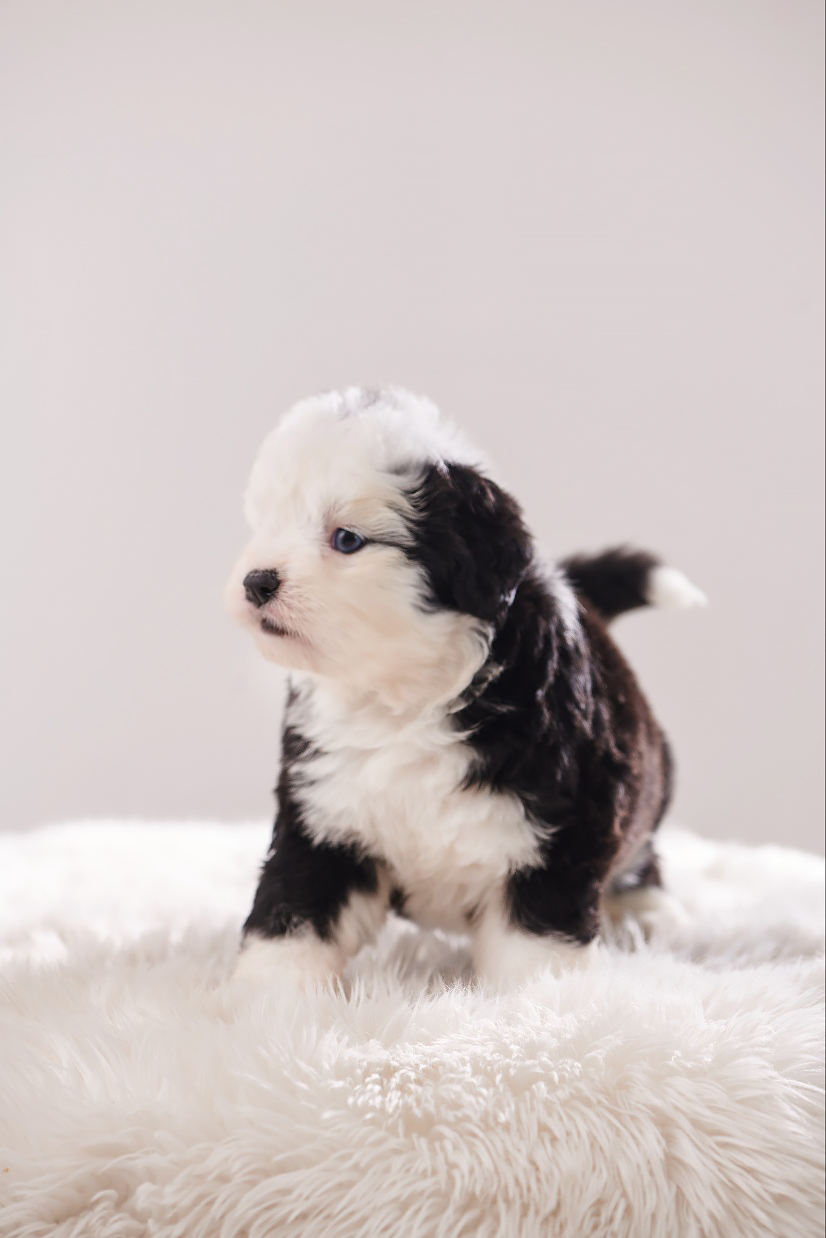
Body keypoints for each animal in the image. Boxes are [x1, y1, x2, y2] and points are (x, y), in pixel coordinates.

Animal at [226, 387, 704, 988]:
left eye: (347, 539)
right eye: (265, 526)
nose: (256, 582)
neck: (403, 699)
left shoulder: (559, 827)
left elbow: (535, 945)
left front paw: (537, 1003)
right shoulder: (323, 817)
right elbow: (292, 913)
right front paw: (272, 999)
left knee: (641, 853)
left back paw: (650, 913)